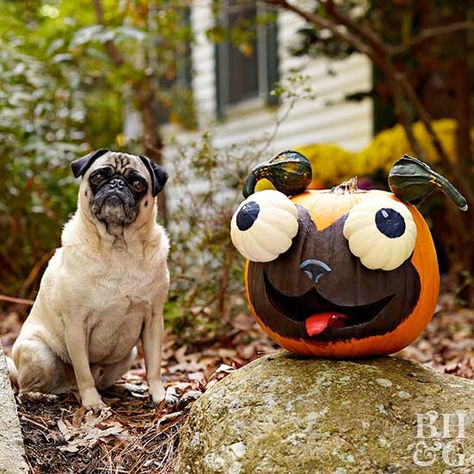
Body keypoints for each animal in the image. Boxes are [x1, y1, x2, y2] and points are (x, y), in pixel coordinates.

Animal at [8, 150, 170, 410]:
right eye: (98, 176)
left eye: (137, 183)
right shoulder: (76, 323)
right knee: (24, 389)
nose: (116, 184)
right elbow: (83, 372)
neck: (118, 247)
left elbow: (154, 365)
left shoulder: (154, 319)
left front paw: (159, 395)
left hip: (130, 354)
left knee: (104, 382)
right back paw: (42, 396)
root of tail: (67, 389)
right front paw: (93, 403)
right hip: (38, 354)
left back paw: (126, 387)